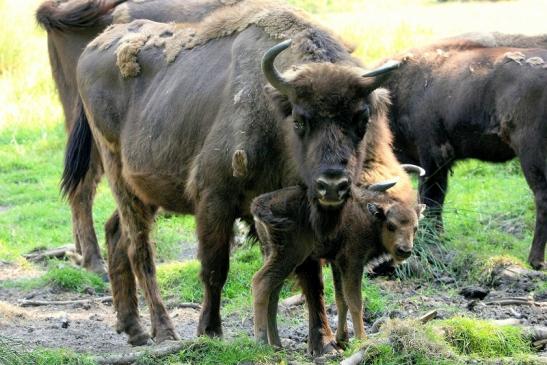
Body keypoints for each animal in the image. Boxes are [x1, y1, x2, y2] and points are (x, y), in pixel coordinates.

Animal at [64, 0, 400, 352]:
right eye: (299, 120)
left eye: (361, 119)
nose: (332, 185)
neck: (273, 113)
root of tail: (93, 46)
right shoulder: (214, 199)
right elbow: (215, 268)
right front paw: (210, 331)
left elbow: (310, 276)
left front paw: (321, 341)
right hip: (118, 172)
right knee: (139, 249)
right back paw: (163, 330)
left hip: (147, 190)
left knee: (116, 232)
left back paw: (134, 329)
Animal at [250, 183, 422, 354]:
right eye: (391, 226)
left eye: (415, 228)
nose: (405, 250)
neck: (370, 218)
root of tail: (260, 203)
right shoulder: (353, 262)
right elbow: (355, 301)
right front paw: (362, 339)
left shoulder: (337, 263)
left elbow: (341, 300)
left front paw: (342, 341)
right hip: (290, 255)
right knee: (260, 283)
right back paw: (261, 343)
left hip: (272, 254)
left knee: (273, 296)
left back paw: (276, 345)